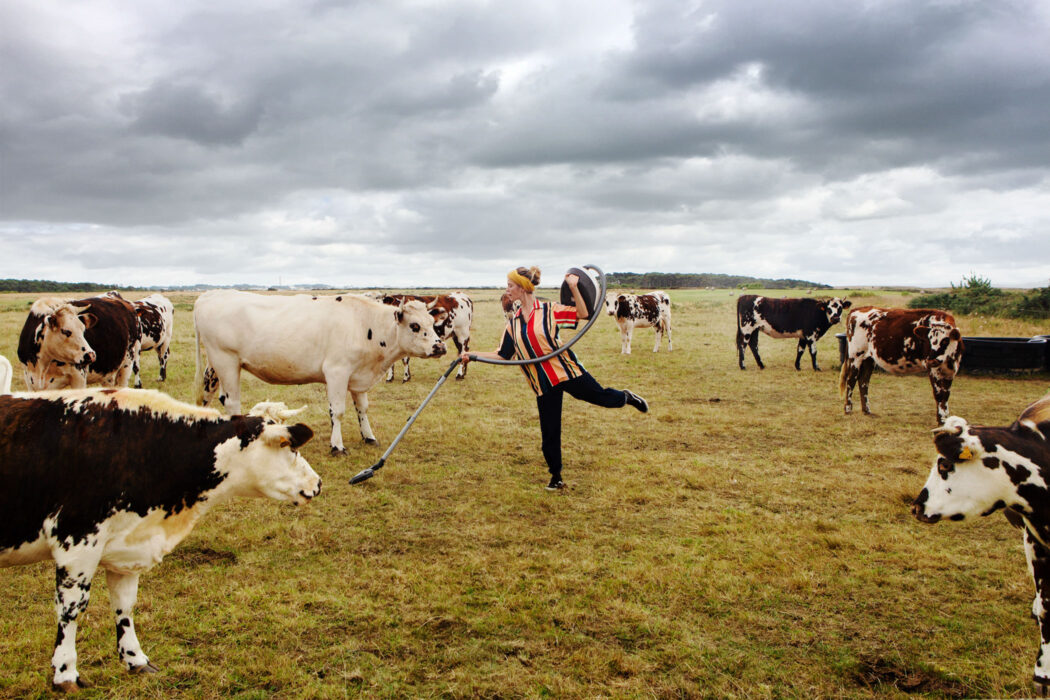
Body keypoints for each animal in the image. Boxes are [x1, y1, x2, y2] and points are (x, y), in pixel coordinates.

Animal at [0, 386, 319, 692]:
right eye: (288, 447)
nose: (317, 483)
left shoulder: (126, 548)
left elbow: (125, 605)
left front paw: (135, 660)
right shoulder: (77, 541)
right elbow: (71, 609)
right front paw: (65, 673)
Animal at [193, 289, 447, 455]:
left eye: (431, 322)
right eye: (415, 326)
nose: (440, 347)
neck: (364, 324)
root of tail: (210, 295)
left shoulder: (358, 376)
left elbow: (362, 409)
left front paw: (368, 437)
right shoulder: (337, 371)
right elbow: (338, 411)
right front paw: (337, 446)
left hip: (215, 366)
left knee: (209, 395)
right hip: (226, 361)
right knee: (232, 402)